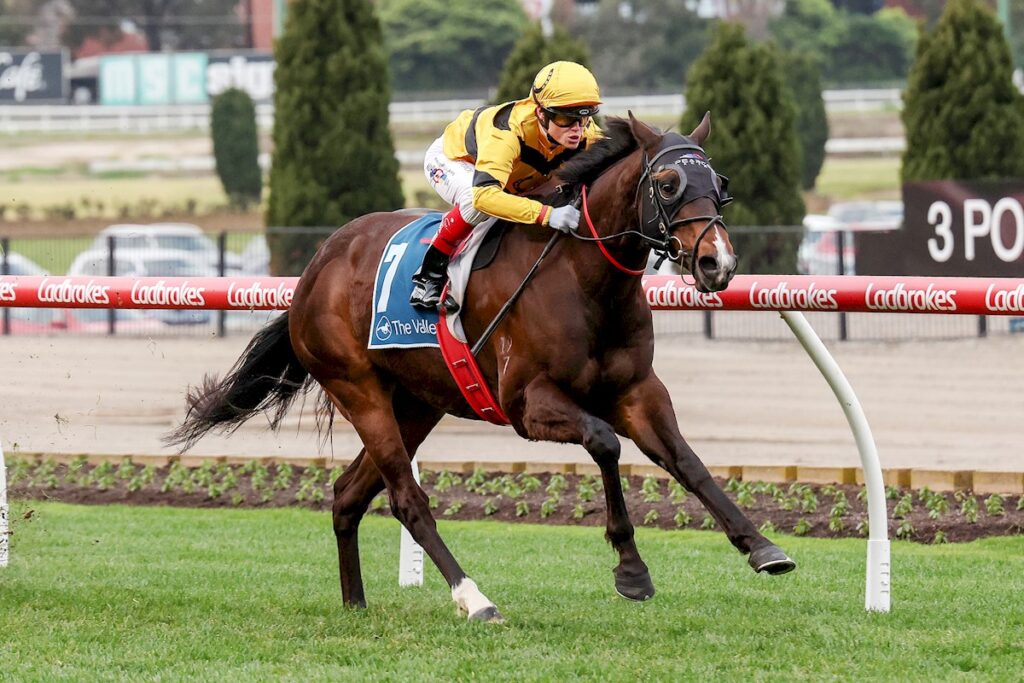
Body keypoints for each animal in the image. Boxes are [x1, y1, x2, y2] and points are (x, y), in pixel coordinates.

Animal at [167, 113, 795, 623]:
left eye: (720, 186)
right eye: (667, 184)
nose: (717, 262)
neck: (584, 279)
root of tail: (316, 267)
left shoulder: (638, 391)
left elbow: (689, 463)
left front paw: (761, 547)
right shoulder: (528, 404)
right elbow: (605, 443)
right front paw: (631, 570)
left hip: (417, 403)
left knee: (348, 495)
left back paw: (356, 603)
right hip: (359, 389)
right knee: (406, 500)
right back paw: (475, 599)